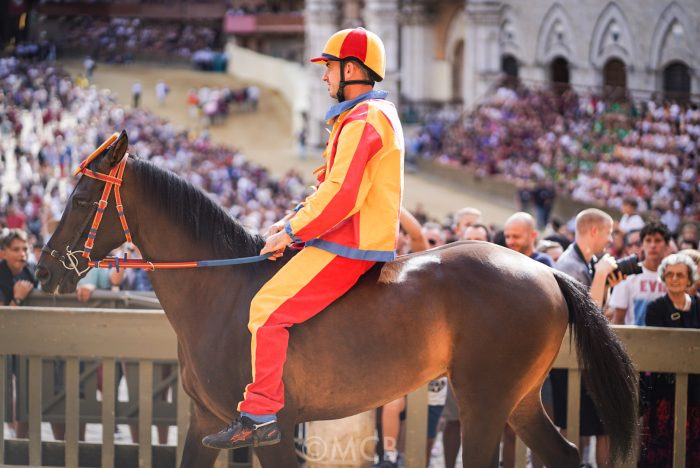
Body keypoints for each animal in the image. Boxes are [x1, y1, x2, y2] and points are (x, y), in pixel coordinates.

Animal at [37, 133, 640, 468]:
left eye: (82, 196)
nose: (44, 270)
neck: (223, 293)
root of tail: (543, 270)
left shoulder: (272, 432)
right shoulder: (204, 421)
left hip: (484, 403)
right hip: (518, 399)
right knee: (564, 454)